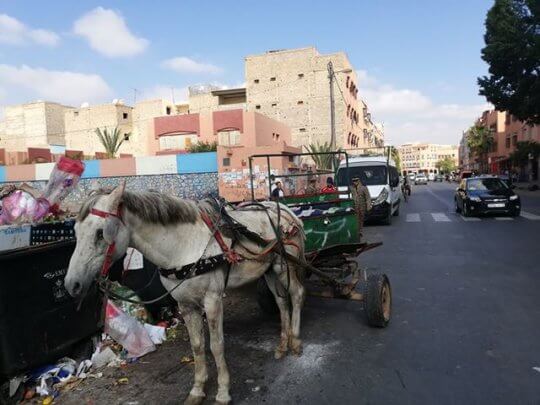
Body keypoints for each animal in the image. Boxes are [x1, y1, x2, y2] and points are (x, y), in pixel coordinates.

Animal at [63, 185, 306, 402]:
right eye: (75, 232)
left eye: (100, 233)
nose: (71, 284)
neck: (184, 246)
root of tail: (288, 212)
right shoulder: (186, 305)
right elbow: (197, 346)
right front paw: (198, 389)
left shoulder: (212, 300)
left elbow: (216, 345)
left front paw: (223, 391)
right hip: (270, 270)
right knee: (281, 302)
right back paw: (282, 345)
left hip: (285, 267)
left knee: (296, 294)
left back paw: (295, 341)